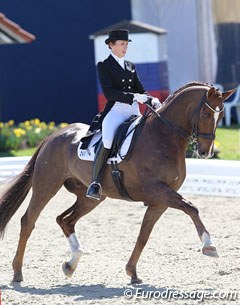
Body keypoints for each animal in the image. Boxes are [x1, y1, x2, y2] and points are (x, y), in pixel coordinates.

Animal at [0, 81, 235, 282]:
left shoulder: (160, 201)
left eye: (221, 114)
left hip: (91, 197)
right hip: (46, 186)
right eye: (206, 113)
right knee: (28, 221)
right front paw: (209, 246)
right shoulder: (157, 191)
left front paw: (132, 272)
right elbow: (191, 207)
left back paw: (70, 265)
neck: (163, 136)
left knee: (65, 220)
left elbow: (143, 235)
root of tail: (54, 135)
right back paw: (18, 272)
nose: (206, 152)